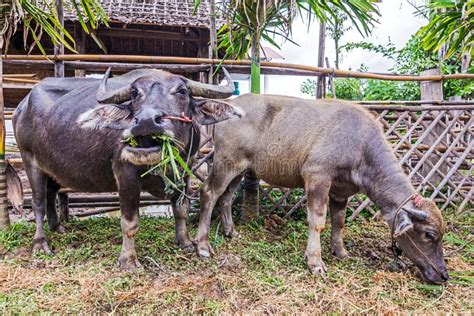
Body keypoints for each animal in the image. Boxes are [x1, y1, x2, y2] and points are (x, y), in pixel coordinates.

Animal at [12, 67, 243, 270]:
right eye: (134, 93)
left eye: (182, 91)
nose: (146, 121)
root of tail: (21, 107)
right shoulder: (126, 176)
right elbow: (130, 222)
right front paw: (129, 260)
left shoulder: (184, 172)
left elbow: (182, 210)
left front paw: (185, 242)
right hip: (29, 160)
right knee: (38, 203)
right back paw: (40, 244)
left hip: (51, 167)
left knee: (51, 193)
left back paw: (58, 227)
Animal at [195, 94, 448, 284]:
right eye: (429, 235)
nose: (443, 275)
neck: (361, 146)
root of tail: (227, 106)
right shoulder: (317, 176)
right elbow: (317, 221)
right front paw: (315, 261)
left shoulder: (340, 191)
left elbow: (339, 221)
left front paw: (341, 252)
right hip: (225, 162)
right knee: (209, 192)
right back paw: (203, 245)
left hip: (239, 168)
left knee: (226, 197)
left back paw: (230, 231)